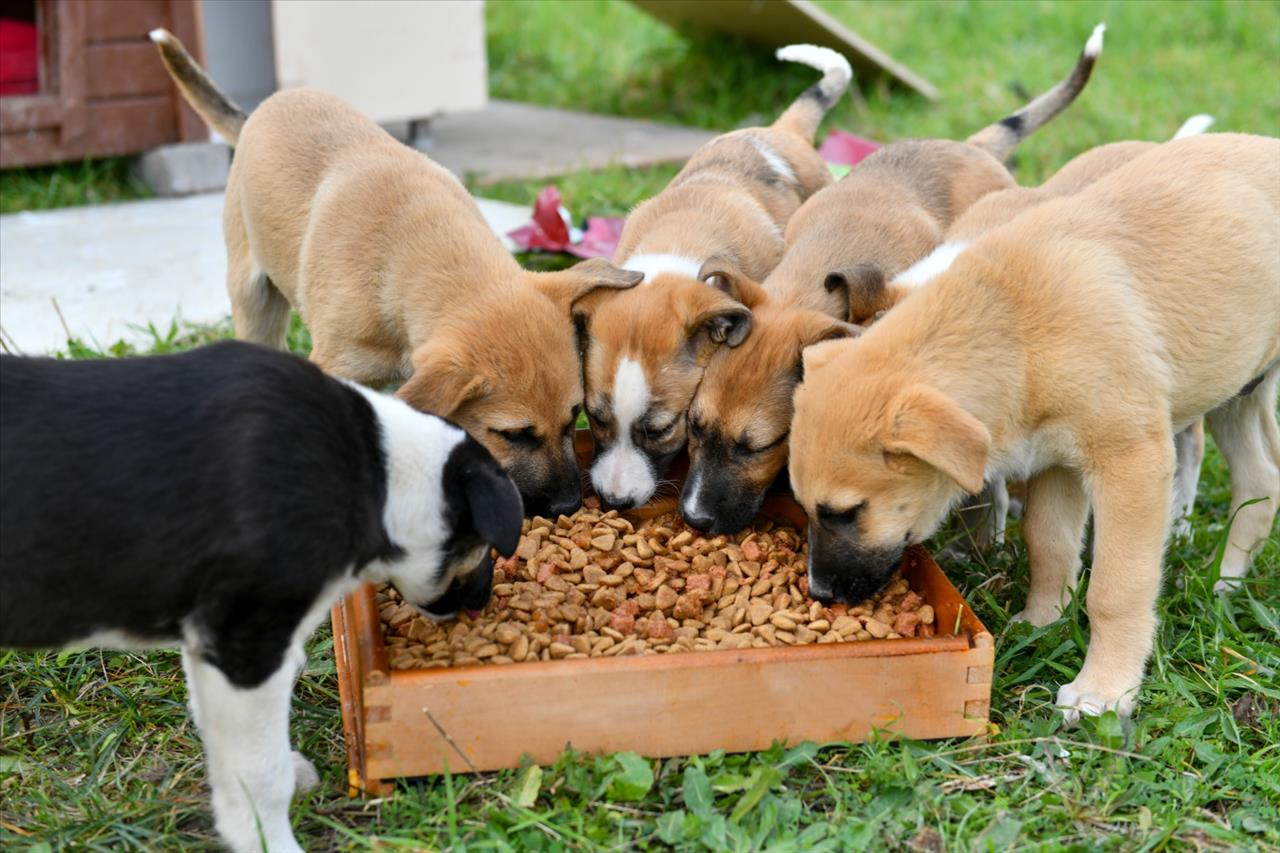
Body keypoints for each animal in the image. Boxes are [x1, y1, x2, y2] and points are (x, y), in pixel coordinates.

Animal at [0, 338, 522, 850]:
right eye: (484, 546)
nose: (484, 602)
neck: (378, 473)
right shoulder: (247, 645)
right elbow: (260, 772)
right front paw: (270, 839)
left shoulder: (210, 645)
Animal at [152, 29, 640, 514]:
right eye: (515, 434)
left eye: (574, 416)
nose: (568, 506)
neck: (424, 254)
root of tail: (265, 107)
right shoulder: (338, 365)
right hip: (254, 296)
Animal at [788, 133, 1280, 717]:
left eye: (846, 512)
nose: (820, 594)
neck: (1016, 332)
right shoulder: (1057, 461)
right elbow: (1049, 543)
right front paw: (1043, 622)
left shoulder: (1131, 463)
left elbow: (1117, 587)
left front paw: (1104, 691)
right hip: (1238, 389)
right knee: (1261, 480)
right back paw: (1224, 580)